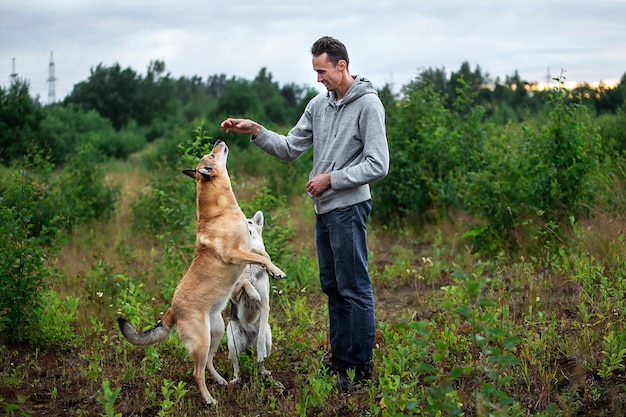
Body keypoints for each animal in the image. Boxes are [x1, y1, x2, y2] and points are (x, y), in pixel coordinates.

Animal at [225, 210, 272, 382]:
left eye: (250, 222)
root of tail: (249, 336)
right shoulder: (234, 295)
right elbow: (244, 282)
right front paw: (252, 293)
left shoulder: (265, 305)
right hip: (233, 343)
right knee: (236, 364)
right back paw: (235, 380)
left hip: (268, 339)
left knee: (261, 359)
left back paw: (264, 372)